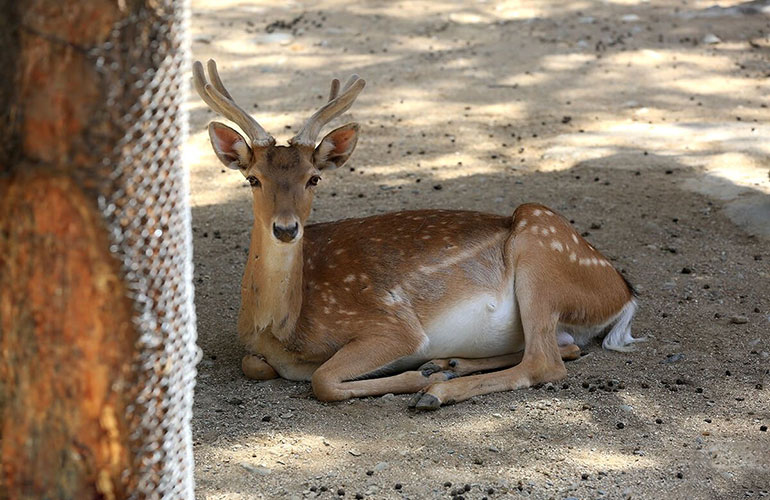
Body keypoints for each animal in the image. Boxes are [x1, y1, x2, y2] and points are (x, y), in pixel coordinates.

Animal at [194, 59, 640, 410]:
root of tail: (624, 294)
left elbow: (323, 380)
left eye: (314, 178)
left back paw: (437, 390)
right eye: (253, 178)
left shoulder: (392, 324)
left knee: (544, 362)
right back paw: (449, 364)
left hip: (540, 247)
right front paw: (432, 370)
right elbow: (254, 364)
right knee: (566, 346)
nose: (286, 228)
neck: (282, 330)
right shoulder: (256, 350)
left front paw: (420, 378)